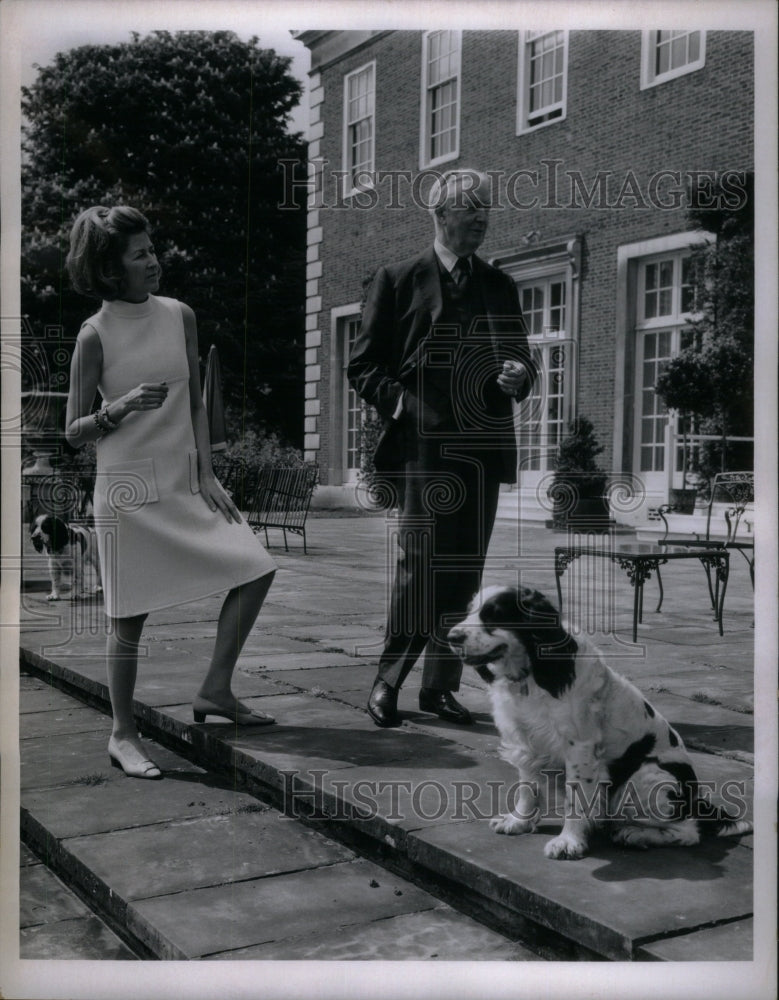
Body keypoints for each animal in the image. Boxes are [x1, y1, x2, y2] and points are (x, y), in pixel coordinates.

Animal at [448, 584, 752, 860]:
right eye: (469, 610)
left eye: (494, 614)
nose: (452, 636)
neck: (532, 676)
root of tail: (697, 800)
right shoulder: (525, 740)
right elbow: (528, 786)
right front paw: (518, 821)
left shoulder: (579, 747)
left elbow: (576, 797)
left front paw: (568, 842)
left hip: (645, 776)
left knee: (688, 831)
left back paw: (633, 834)